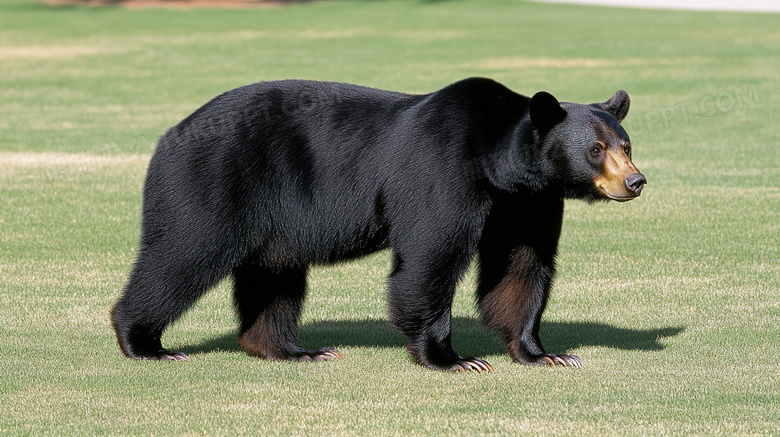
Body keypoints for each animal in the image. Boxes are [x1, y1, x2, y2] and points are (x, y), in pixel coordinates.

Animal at [109, 78, 644, 372]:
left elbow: (522, 266)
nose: (635, 181)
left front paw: (544, 353)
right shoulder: (442, 173)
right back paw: (144, 342)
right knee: (184, 252)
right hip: (215, 179)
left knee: (274, 275)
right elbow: (431, 257)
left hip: (275, 217)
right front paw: (453, 358)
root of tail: (169, 134)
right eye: (595, 149)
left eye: (625, 144)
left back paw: (293, 350)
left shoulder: (526, 203)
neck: (498, 166)